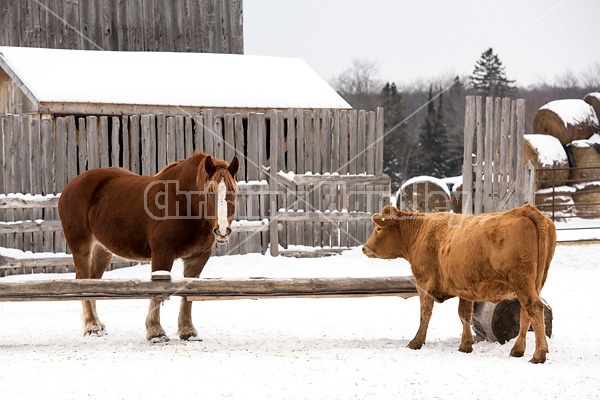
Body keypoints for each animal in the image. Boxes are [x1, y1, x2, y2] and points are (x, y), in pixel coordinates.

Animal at [58, 152, 239, 342]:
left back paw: (98, 324)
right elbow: (157, 292)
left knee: (92, 282)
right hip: (81, 247)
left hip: (102, 251)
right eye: (210, 191)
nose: (222, 230)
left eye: (233, 190)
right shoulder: (162, 253)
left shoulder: (198, 257)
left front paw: (187, 331)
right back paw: (91, 326)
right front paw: (155, 331)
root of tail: (70, 186)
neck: (183, 202)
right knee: (83, 281)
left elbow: (188, 294)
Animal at [360, 205, 556, 364]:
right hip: (534, 283)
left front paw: (416, 342)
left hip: (521, 281)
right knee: (525, 313)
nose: (364, 248)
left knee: (534, 308)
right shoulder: (465, 289)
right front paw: (465, 345)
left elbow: (425, 314)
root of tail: (524, 210)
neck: (420, 232)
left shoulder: (424, 283)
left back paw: (538, 355)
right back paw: (518, 350)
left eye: (379, 228)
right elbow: (464, 315)